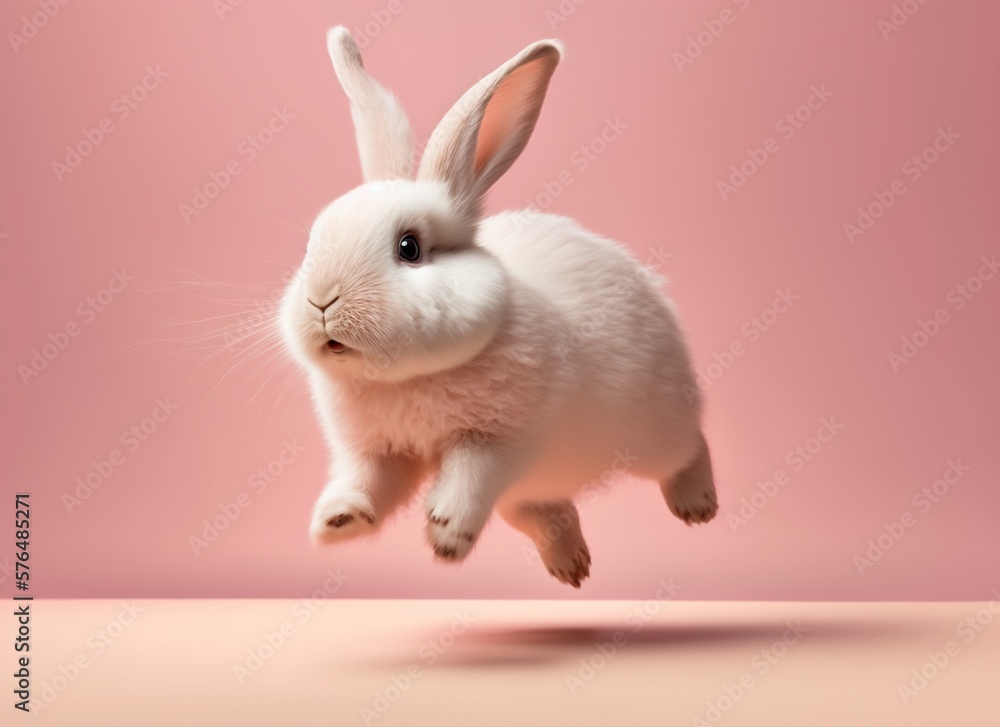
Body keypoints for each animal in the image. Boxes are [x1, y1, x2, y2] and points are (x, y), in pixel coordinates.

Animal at [279, 26, 718, 588]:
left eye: (409, 247)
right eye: (309, 245)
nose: (322, 300)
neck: (407, 379)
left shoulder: (501, 441)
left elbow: (472, 474)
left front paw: (446, 531)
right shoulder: (378, 453)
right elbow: (370, 482)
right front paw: (337, 520)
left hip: (653, 431)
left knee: (689, 447)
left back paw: (697, 506)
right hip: (537, 490)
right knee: (544, 512)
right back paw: (571, 567)